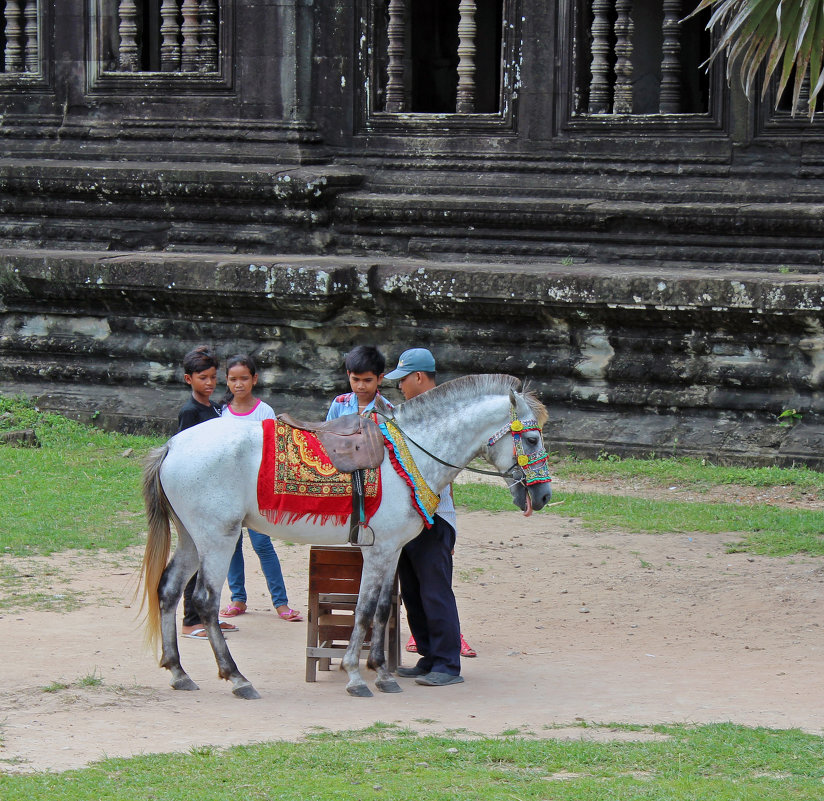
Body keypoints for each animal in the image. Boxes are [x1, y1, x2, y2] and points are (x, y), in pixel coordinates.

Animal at [142, 374, 552, 692]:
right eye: (532, 440)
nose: (544, 495)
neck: (410, 454)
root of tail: (173, 444)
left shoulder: (392, 549)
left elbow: (384, 608)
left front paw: (382, 672)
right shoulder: (378, 549)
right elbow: (365, 608)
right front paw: (355, 674)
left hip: (193, 539)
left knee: (169, 589)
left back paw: (178, 672)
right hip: (218, 538)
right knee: (204, 600)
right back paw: (237, 678)